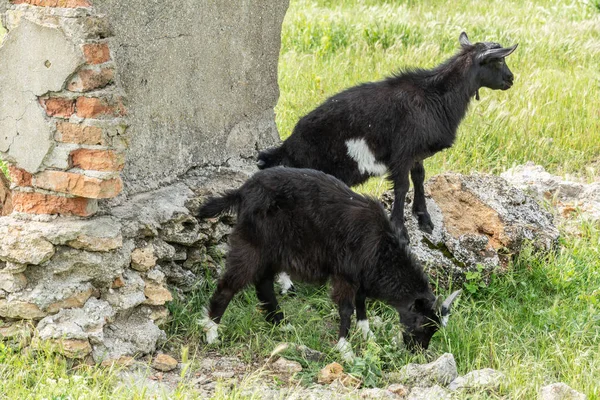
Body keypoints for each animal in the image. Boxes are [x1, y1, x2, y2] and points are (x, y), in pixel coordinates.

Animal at [197, 166, 460, 360]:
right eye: (421, 324)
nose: (417, 353)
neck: (380, 245)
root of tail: (242, 192)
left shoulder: (361, 274)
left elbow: (361, 303)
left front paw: (367, 335)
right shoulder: (345, 274)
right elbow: (346, 308)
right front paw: (345, 349)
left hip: (274, 251)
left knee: (263, 283)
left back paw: (280, 324)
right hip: (253, 245)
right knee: (230, 284)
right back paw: (211, 332)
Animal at [256, 31, 516, 241]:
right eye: (498, 60)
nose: (511, 79)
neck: (436, 95)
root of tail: (288, 145)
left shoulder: (416, 151)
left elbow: (419, 178)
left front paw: (423, 218)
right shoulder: (402, 152)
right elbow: (402, 186)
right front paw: (400, 231)